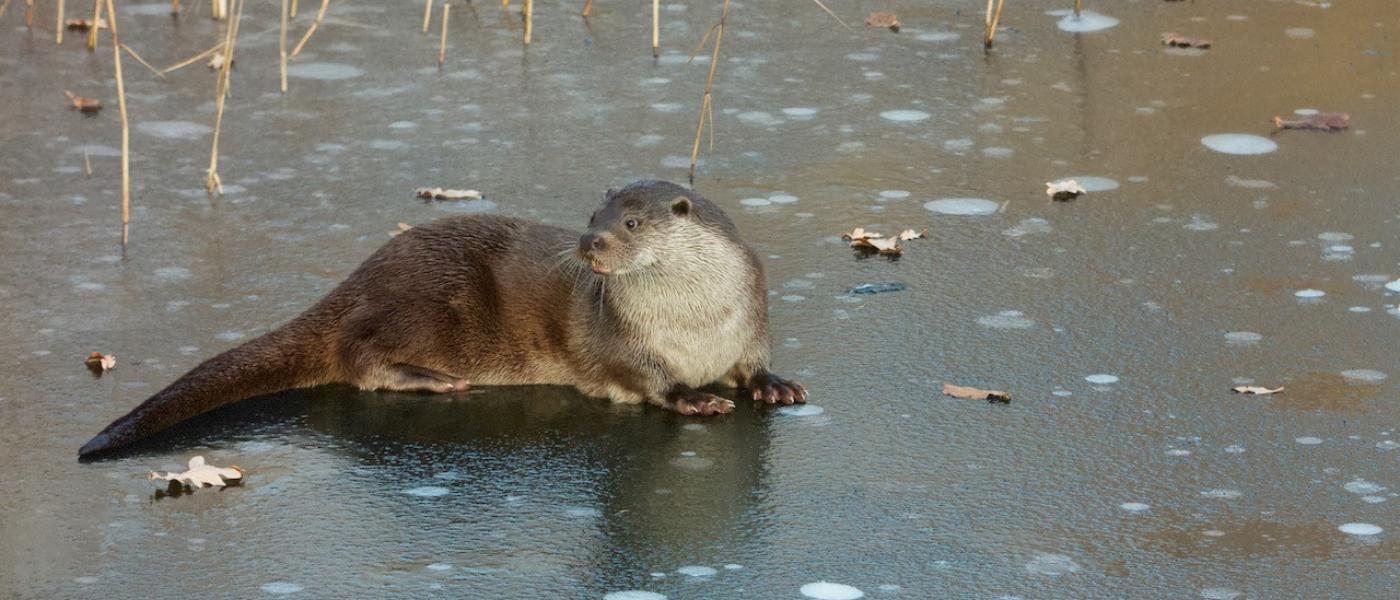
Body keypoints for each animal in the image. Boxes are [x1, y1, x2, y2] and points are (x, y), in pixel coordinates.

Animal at [78, 180, 807, 458]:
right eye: (591, 217)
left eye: (629, 223)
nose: (589, 243)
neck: (696, 321)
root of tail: (357, 278)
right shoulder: (621, 342)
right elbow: (652, 380)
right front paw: (694, 397)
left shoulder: (750, 315)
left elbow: (755, 360)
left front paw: (773, 384)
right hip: (426, 306)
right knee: (359, 357)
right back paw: (429, 380)